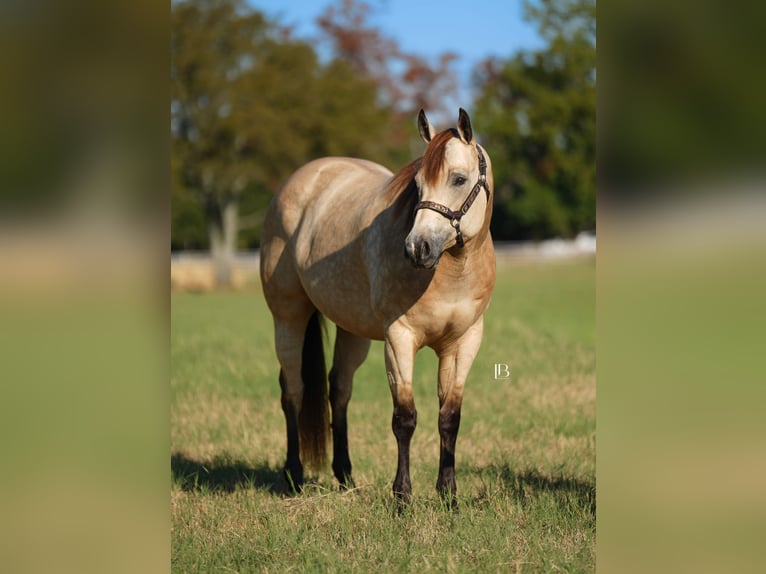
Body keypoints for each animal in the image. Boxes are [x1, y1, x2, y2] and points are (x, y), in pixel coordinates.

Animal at [259, 108, 495, 505]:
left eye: (459, 179)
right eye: (418, 184)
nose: (417, 248)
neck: (452, 272)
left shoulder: (464, 343)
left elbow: (450, 417)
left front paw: (448, 494)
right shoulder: (399, 340)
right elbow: (404, 418)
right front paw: (402, 496)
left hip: (351, 330)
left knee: (338, 391)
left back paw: (345, 476)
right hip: (287, 318)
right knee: (293, 391)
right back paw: (293, 476)